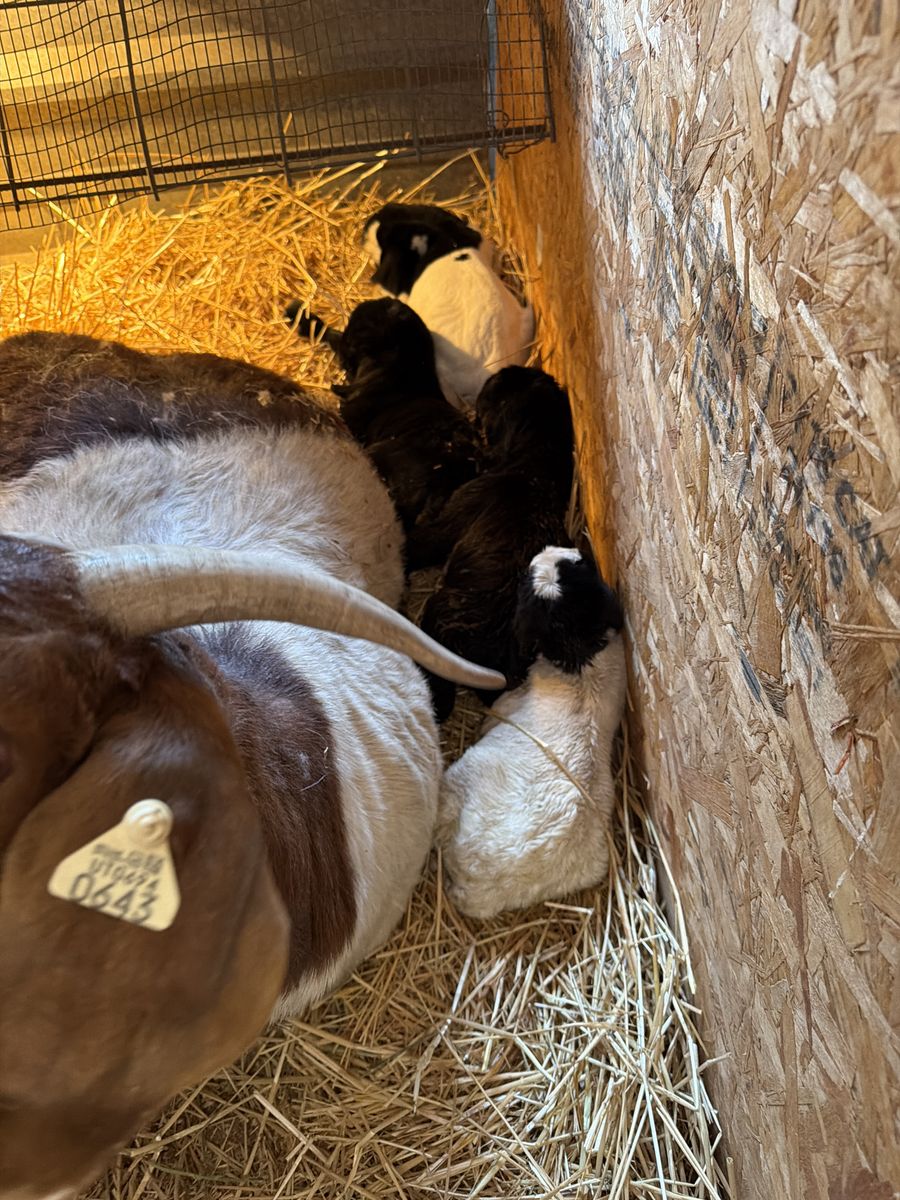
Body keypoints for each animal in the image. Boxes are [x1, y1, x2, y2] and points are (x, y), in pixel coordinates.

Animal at [437, 547, 626, 919]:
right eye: (582, 565)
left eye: (525, 581)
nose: (550, 550)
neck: (578, 655)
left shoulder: (504, 706)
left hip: (460, 778)